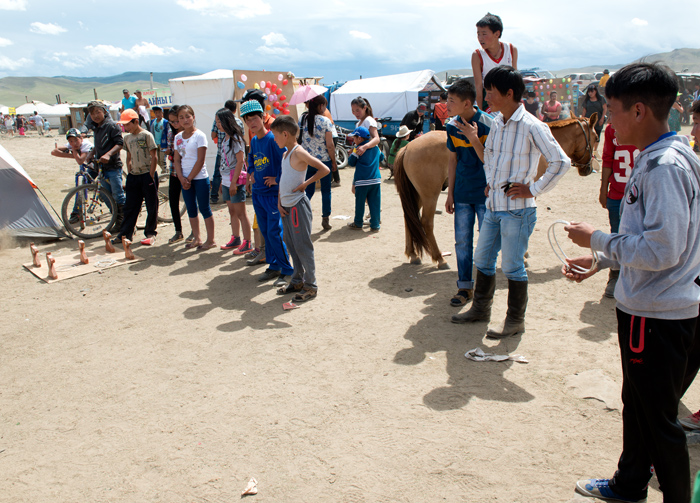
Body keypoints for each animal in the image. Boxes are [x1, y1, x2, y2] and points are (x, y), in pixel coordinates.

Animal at [396, 112, 600, 270]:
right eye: (597, 138)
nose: (588, 169)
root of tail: (409, 147)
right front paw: (523, 255)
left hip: (417, 195)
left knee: (409, 218)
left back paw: (413, 254)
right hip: (430, 194)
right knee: (426, 222)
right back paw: (439, 258)